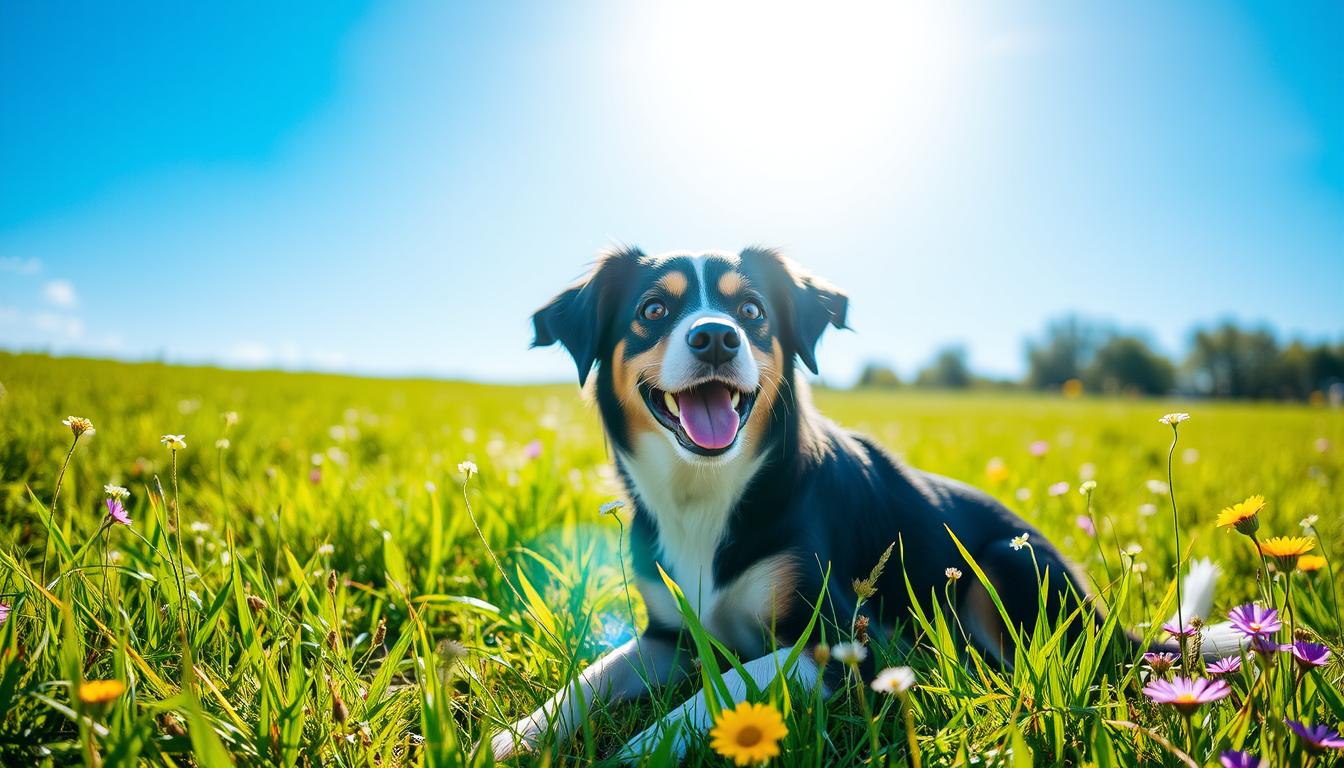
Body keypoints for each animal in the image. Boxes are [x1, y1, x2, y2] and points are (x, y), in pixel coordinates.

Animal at [491, 247, 1231, 763]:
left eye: (751, 312)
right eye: (652, 310)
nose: (716, 338)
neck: (710, 493)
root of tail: (1110, 623)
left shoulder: (844, 637)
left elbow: (725, 691)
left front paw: (640, 750)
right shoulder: (669, 635)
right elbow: (593, 677)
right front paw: (515, 737)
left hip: (1006, 563)